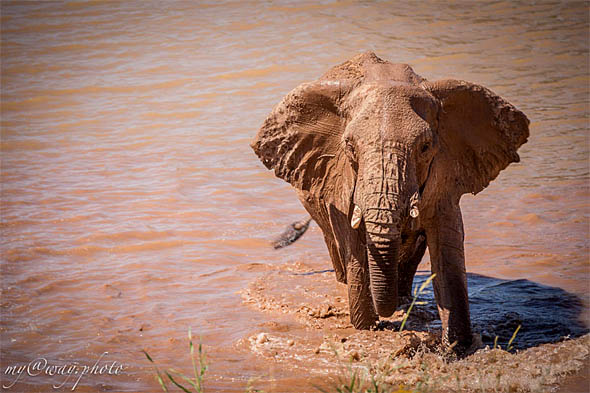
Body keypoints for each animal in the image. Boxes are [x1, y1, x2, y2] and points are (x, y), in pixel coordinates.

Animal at [250, 51, 532, 350]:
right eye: (349, 146)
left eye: (425, 147)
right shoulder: (336, 177)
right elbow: (353, 245)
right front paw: (367, 329)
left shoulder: (447, 171)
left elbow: (447, 252)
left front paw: (457, 347)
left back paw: (403, 299)